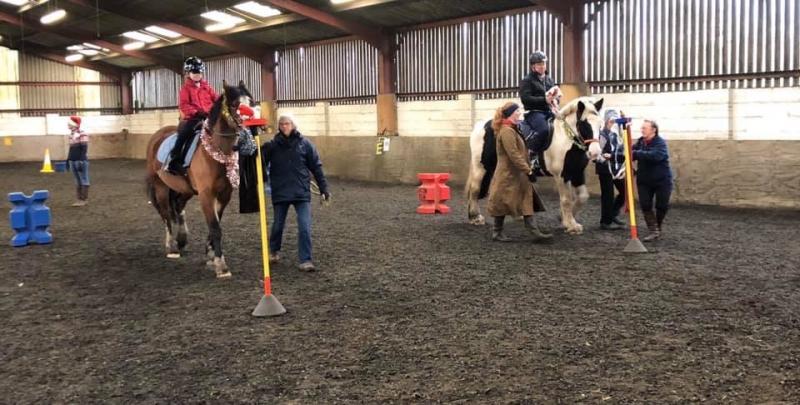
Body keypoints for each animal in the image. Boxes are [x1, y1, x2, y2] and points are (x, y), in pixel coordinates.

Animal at [145, 82, 248, 278]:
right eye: (234, 104)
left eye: (251, 102)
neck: (216, 153)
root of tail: (156, 136)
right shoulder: (206, 195)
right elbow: (215, 227)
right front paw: (221, 266)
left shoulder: (224, 195)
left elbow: (216, 224)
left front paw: (210, 255)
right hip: (161, 187)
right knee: (166, 214)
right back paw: (171, 248)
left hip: (186, 189)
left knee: (178, 206)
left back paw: (182, 240)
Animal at [466, 97, 604, 234]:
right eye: (584, 124)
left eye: (600, 124)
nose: (595, 152)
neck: (566, 139)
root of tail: (481, 125)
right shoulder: (561, 175)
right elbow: (566, 200)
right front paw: (570, 225)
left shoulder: (577, 173)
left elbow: (583, 197)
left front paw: (563, 218)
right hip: (481, 166)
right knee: (475, 189)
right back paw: (475, 217)